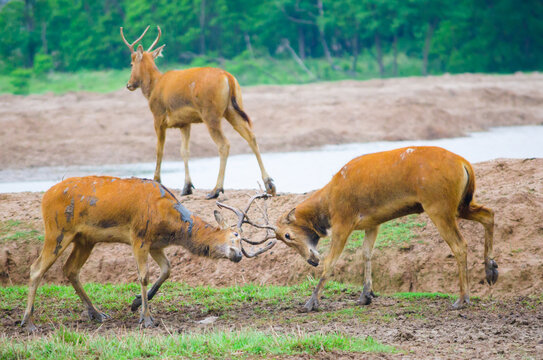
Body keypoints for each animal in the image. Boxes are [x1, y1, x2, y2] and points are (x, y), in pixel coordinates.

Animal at [20, 175, 272, 332]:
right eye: (236, 235)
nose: (239, 255)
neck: (171, 223)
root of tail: (44, 197)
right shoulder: (139, 236)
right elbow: (143, 275)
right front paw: (146, 318)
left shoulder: (156, 244)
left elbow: (167, 270)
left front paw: (134, 304)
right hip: (57, 230)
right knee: (36, 268)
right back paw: (28, 322)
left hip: (85, 239)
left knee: (70, 269)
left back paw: (97, 314)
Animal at [121, 25, 278, 200]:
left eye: (131, 63)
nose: (129, 84)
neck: (153, 87)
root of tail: (228, 77)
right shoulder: (184, 123)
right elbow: (184, 151)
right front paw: (187, 187)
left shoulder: (158, 117)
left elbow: (159, 150)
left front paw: (157, 180)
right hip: (232, 111)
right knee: (251, 137)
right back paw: (270, 185)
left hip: (211, 115)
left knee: (224, 144)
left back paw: (216, 190)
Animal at [226, 146, 502, 312]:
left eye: (287, 235)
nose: (311, 260)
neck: (329, 203)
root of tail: (465, 164)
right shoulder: (372, 222)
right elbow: (367, 253)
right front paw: (365, 295)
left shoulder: (344, 220)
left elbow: (332, 261)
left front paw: (311, 302)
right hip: (460, 203)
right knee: (489, 213)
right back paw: (491, 270)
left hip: (438, 205)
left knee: (460, 245)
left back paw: (462, 298)